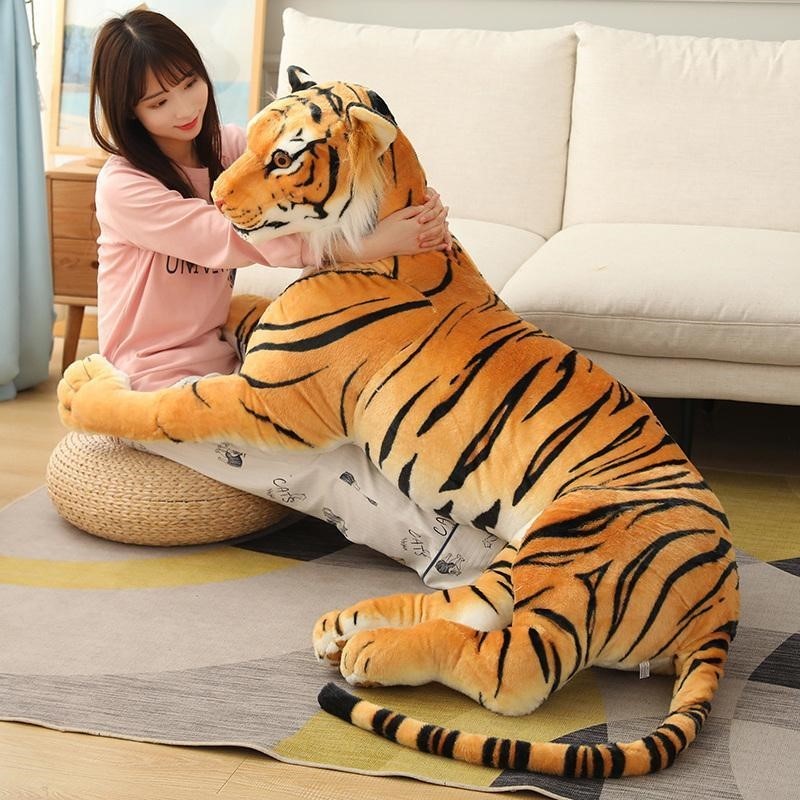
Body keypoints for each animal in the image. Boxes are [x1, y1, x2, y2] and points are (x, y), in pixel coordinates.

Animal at [58, 66, 739, 779]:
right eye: (255, 136)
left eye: (284, 157)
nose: (213, 198)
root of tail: (723, 607)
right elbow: (241, 308)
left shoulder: (268, 398)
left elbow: (160, 405)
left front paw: (81, 385)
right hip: (529, 552)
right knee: (464, 603)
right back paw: (347, 626)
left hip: (574, 549)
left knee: (507, 665)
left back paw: (371, 653)